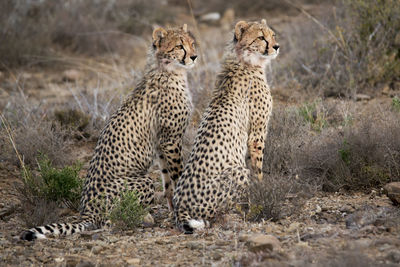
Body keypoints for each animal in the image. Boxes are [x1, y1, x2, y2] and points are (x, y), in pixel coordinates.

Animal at [21, 25, 198, 242]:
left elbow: (167, 181)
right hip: (142, 182)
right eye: (180, 46)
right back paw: (141, 217)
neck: (169, 70)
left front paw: (174, 210)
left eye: (192, 43)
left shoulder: (161, 144)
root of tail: (86, 210)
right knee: (108, 221)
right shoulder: (171, 139)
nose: (194, 56)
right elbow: (177, 175)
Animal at [173, 19, 280, 234]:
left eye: (272, 35)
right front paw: (262, 191)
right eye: (261, 37)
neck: (246, 60)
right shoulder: (257, 133)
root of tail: (180, 207)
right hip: (238, 173)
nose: (276, 46)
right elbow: (258, 169)